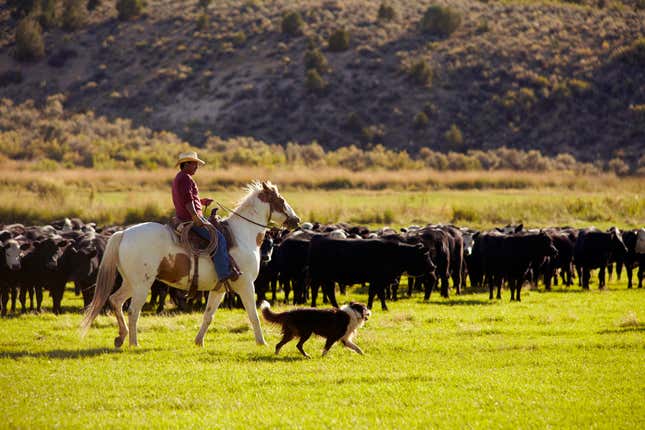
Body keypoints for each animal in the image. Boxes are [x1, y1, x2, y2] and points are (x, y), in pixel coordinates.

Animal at [80, 180, 300, 348]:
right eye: (281, 201)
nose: (296, 220)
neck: (242, 235)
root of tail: (124, 233)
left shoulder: (219, 289)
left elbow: (208, 316)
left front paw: (198, 341)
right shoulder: (246, 285)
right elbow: (253, 315)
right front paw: (262, 342)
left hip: (130, 282)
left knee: (116, 300)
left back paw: (121, 337)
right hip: (142, 285)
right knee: (133, 310)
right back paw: (134, 343)